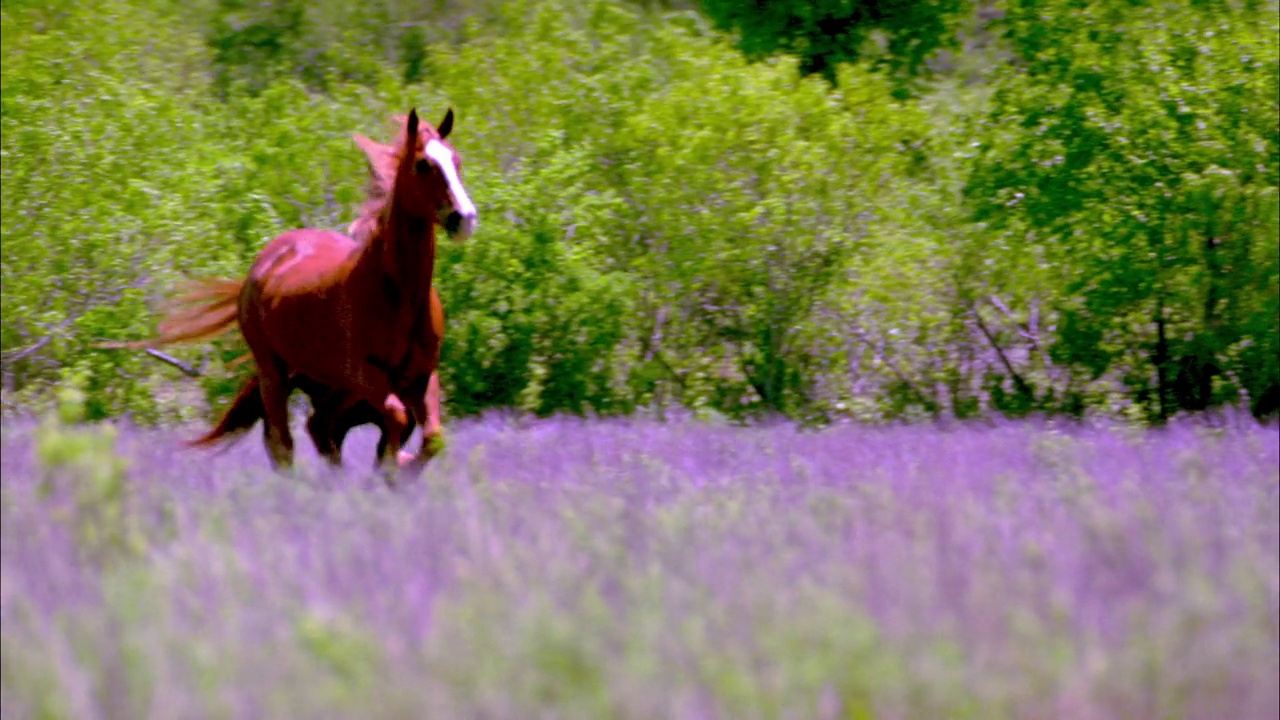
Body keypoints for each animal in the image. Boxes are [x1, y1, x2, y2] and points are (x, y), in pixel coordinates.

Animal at [131, 107, 476, 471]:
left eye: (456, 159)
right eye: (423, 164)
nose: (464, 218)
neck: (397, 295)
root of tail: (262, 265)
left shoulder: (422, 376)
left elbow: (432, 437)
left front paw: (396, 469)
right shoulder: (366, 376)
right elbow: (396, 419)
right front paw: (393, 467)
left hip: (328, 384)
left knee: (320, 428)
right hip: (275, 371)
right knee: (284, 441)